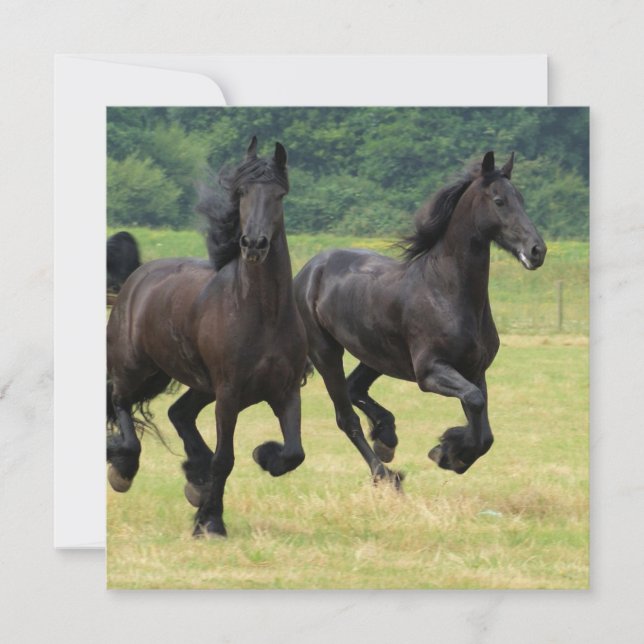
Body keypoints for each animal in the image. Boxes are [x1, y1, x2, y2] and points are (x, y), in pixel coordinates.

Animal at [106, 137, 308, 537]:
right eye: (242, 192)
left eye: (279, 195)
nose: (254, 244)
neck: (262, 314)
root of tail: (138, 276)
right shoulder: (228, 395)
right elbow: (225, 459)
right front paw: (211, 522)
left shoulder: (286, 391)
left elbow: (294, 453)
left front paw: (264, 454)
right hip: (135, 368)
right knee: (121, 401)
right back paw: (123, 467)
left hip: (198, 383)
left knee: (178, 412)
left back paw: (194, 479)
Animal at [293, 151, 546, 486]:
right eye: (499, 200)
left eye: (521, 198)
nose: (537, 250)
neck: (446, 292)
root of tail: (308, 271)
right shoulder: (431, 372)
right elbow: (475, 403)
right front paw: (447, 451)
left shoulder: (474, 370)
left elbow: (484, 430)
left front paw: (450, 453)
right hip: (327, 354)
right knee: (346, 417)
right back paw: (385, 474)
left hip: (376, 355)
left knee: (354, 387)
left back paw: (387, 436)